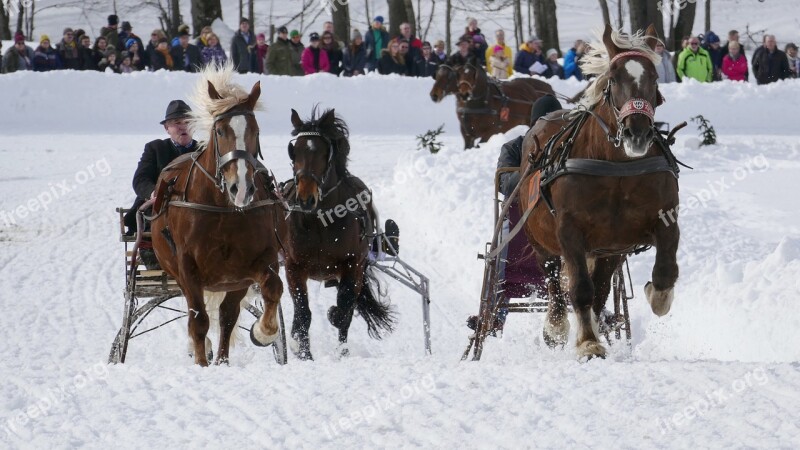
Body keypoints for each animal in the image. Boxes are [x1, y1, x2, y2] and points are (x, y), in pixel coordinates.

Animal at [150, 62, 288, 366]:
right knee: (201, 316)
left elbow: (273, 287)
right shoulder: (187, 268)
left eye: (255, 131)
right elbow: (199, 321)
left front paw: (263, 332)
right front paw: (201, 362)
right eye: (221, 131)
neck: (225, 210)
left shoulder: (258, 260)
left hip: (234, 281)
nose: (242, 188)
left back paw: (223, 360)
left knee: (227, 315)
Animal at [284, 107, 394, 360]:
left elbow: (344, 309)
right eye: (294, 151)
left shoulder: (353, 265)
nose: (305, 199)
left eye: (324, 152)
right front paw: (303, 351)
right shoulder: (293, 266)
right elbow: (303, 311)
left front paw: (335, 321)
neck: (320, 220)